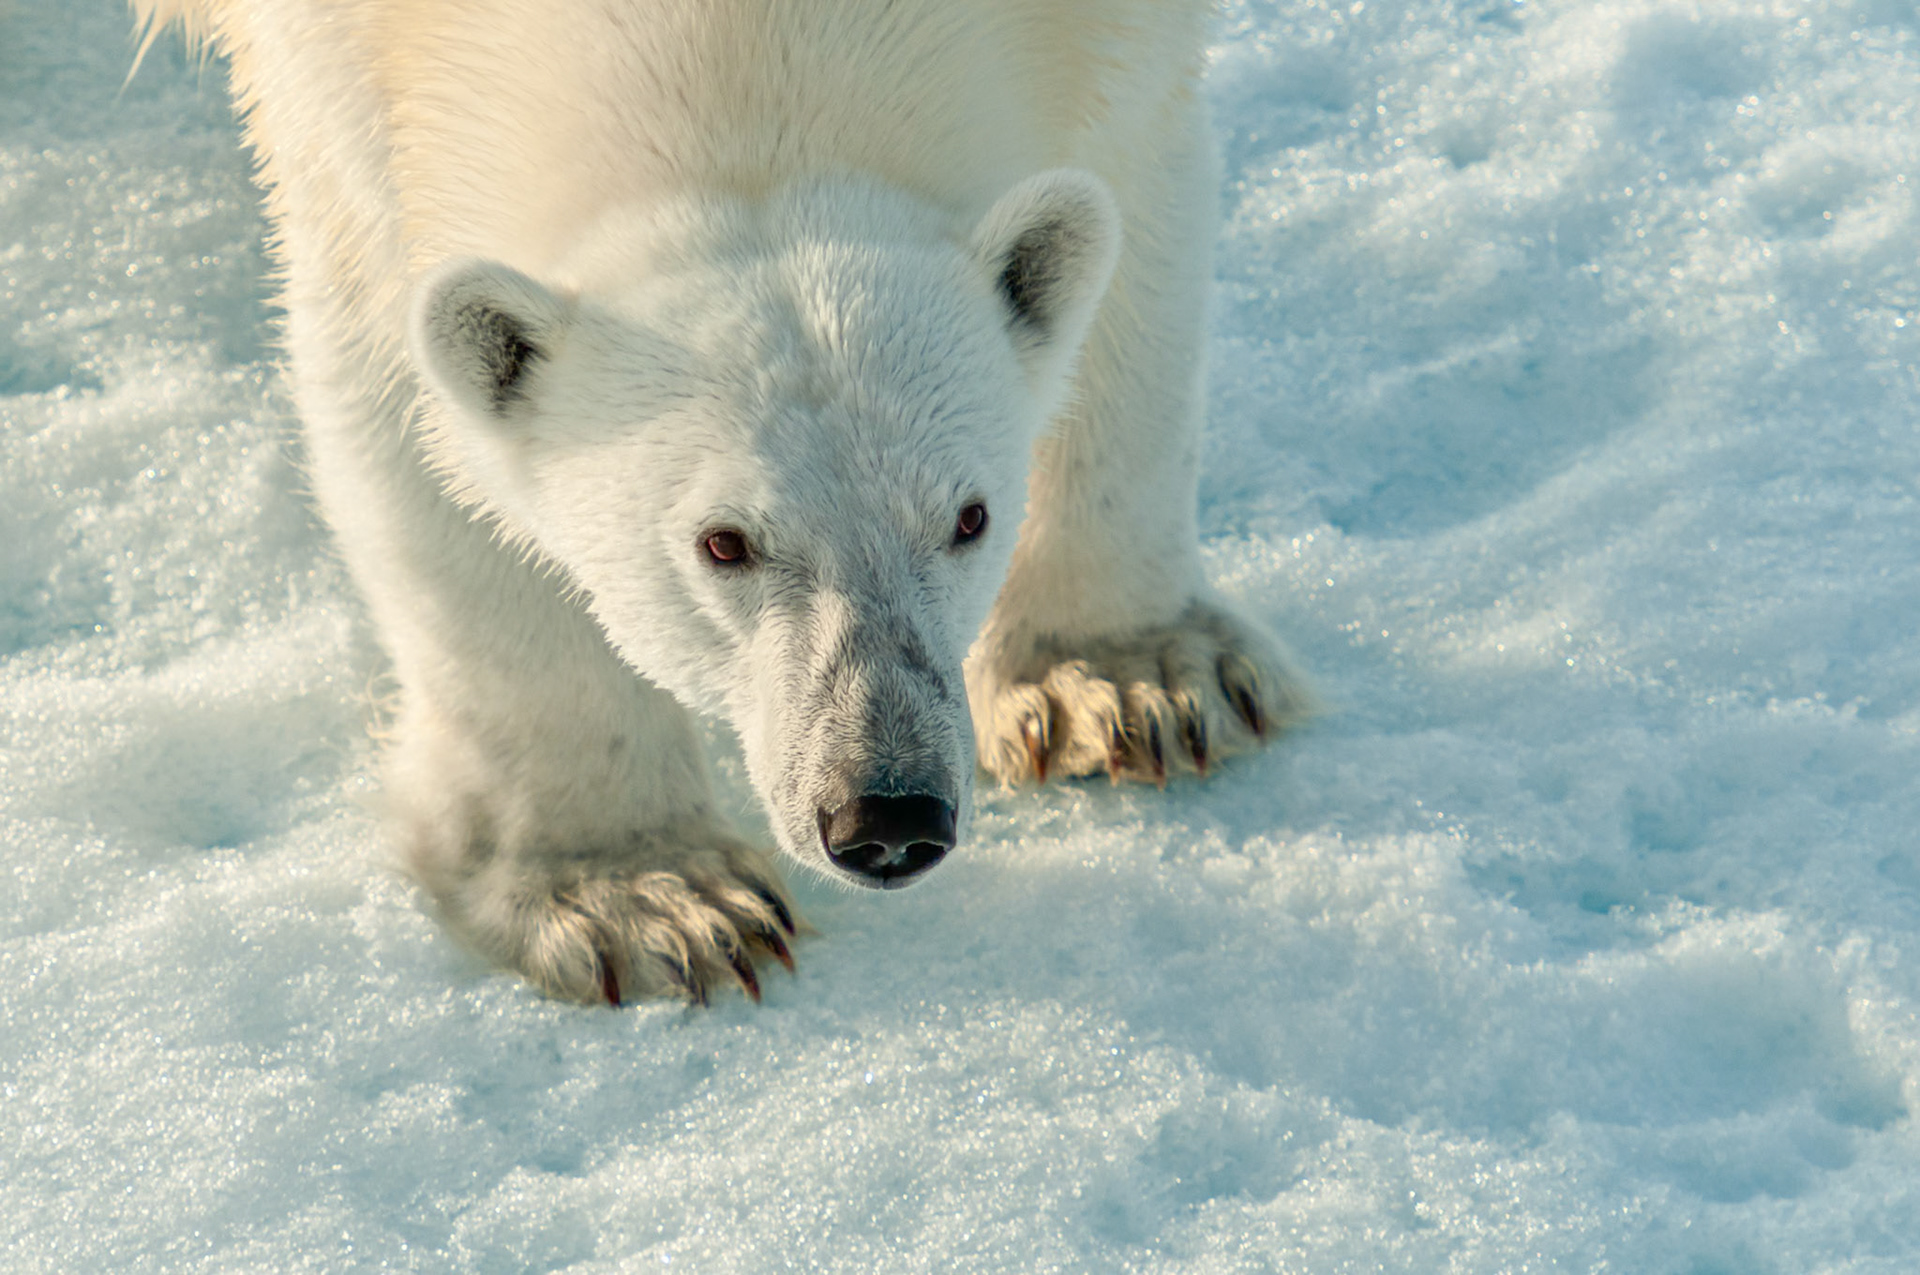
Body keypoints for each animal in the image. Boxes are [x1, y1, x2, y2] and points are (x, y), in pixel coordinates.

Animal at [131, 0, 1309, 1005]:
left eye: (970, 517)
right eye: (723, 543)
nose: (887, 811)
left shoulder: (1116, 37)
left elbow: (1130, 218)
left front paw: (1129, 679)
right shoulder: (343, 99)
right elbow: (403, 408)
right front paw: (642, 894)